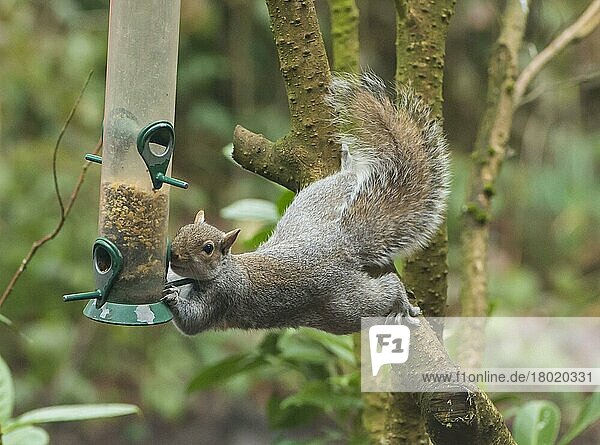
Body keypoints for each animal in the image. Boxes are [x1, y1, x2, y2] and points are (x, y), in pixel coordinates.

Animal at [164, 73, 450, 334]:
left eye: (208, 248)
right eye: (180, 231)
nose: (173, 254)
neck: (223, 269)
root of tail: (340, 240)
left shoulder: (223, 295)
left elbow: (193, 322)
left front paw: (172, 299)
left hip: (346, 307)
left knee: (385, 290)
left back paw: (401, 302)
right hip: (309, 206)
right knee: (343, 181)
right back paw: (348, 166)